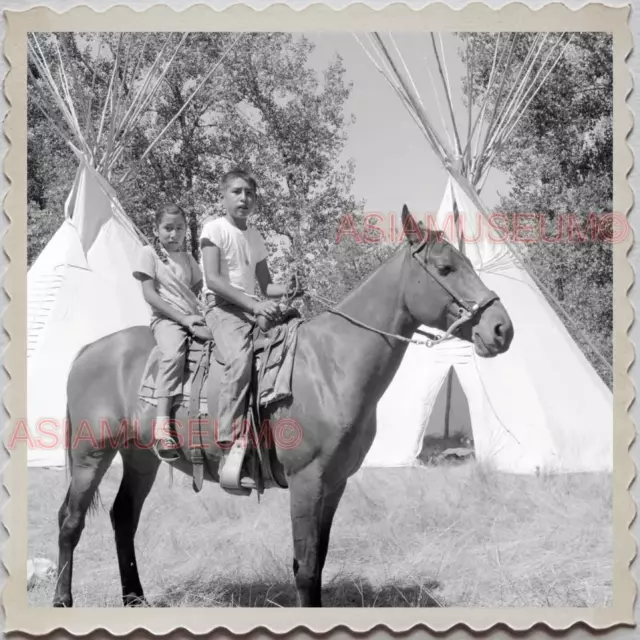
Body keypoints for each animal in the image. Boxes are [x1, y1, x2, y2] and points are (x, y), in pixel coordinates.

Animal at [53, 208, 516, 608]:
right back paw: (63, 599)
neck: (332, 363)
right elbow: (306, 567)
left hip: (140, 457)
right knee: (70, 521)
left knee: (123, 518)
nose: (502, 329)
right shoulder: (306, 481)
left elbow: (318, 559)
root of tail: (89, 351)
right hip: (91, 454)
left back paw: (135, 599)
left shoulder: (334, 483)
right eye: (445, 268)